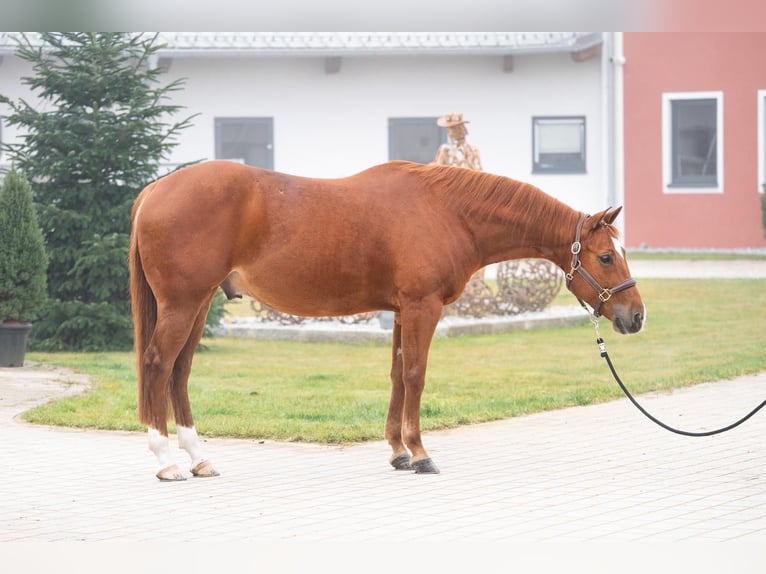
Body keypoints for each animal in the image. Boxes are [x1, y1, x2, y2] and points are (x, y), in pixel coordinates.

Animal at [129, 160, 645, 481]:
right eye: (604, 257)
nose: (635, 317)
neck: (447, 211)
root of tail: (155, 189)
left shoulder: (400, 311)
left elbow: (397, 375)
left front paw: (398, 452)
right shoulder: (422, 307)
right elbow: (416, 375)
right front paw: (420, 454)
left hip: (198, 306)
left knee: (179, 372)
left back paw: (199, 460)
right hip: (182, 304)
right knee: (157, 364)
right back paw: (166, 462)